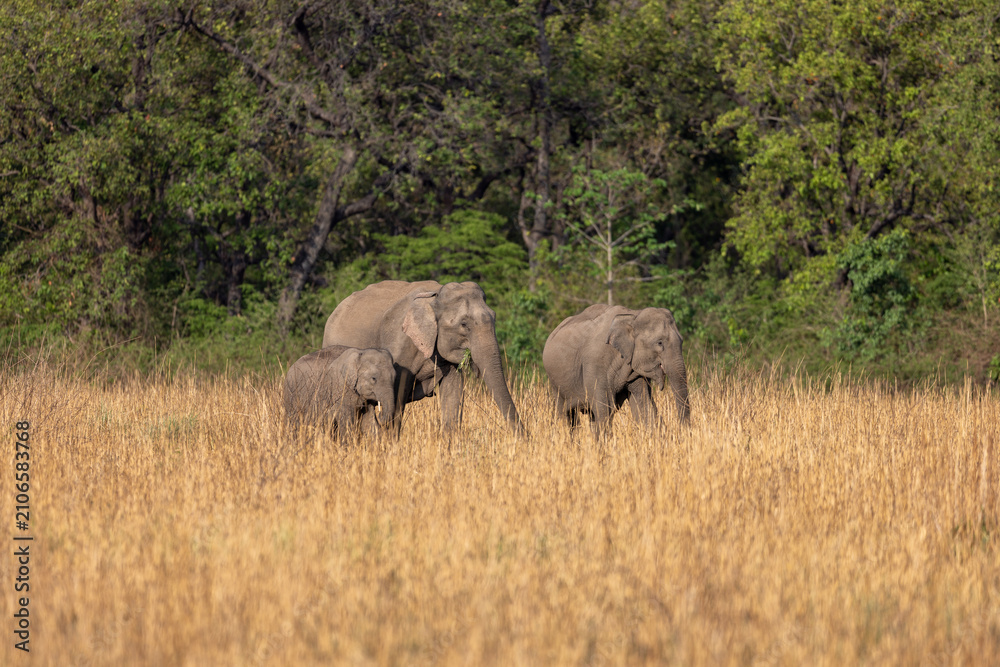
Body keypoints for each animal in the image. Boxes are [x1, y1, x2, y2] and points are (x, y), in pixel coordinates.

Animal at [322, 280, 522, 434]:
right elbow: (397, 395)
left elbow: (453, 391)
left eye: (494, 318)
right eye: (464, 324)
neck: (434, 298)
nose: (524, 438)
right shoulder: (401, 344)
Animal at [542, 304, 689, 438]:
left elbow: (644, 404)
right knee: (565, 415)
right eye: (659, 343)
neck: (633, 315)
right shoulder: (595, 364)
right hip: (556, 383)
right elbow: (605, 407)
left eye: (682, 341)